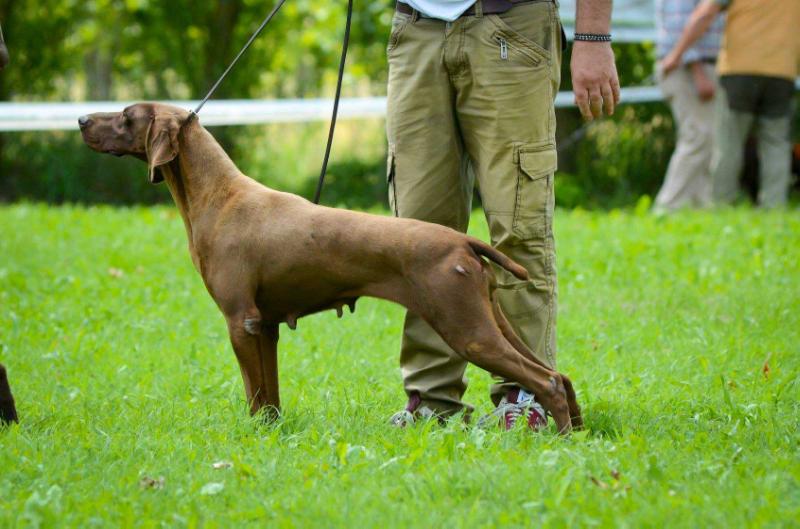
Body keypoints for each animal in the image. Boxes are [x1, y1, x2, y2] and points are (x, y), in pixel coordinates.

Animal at [81, 104, 580, 434]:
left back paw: (557, 438)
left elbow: (253, 393)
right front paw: (271, 435)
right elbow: (270, 397)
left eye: (125, 115)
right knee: (561, 375)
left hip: (467, 330)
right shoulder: (265, 326)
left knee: (547, 380)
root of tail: (463, 240)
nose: (83, 120)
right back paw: (577, 431)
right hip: (489, 320)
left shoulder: (240, 321)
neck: (219, 196)